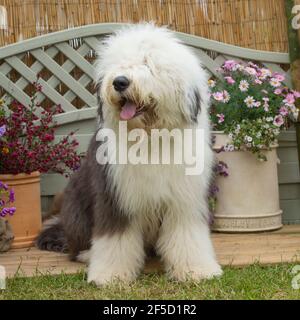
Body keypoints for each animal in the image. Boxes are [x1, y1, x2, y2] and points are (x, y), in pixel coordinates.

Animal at [36, 25, 221, 284]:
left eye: (148, 63)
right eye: (119, 64)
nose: (120, 82)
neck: (150, 137)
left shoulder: (184, 199)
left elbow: (187, 235)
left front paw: (197, 270)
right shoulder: (115, 195)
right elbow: (115, 240)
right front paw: (110, 275)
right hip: (75, 208)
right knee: (75, 246)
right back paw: (86, 254)